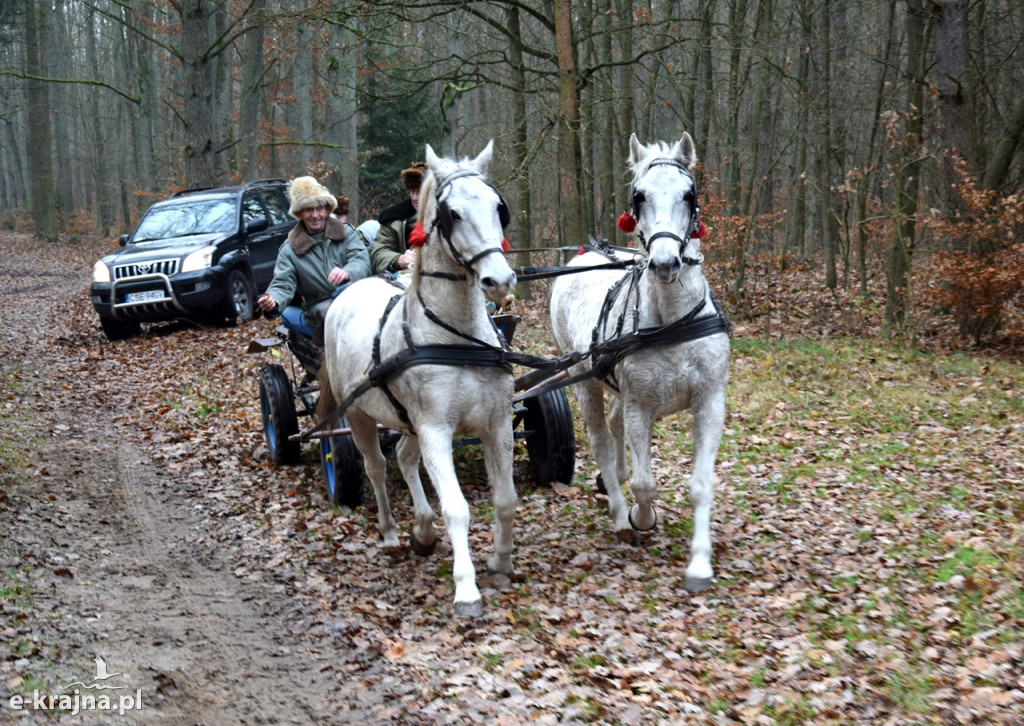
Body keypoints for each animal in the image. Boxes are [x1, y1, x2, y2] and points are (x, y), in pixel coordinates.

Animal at [315, 141, 516, 618]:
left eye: (498, 208)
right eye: (452, 214)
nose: (500, 280)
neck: (454, 336)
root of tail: (349, 290)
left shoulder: (496, 424)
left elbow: (505, 499)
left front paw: (500, 560)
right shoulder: (436, 430)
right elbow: (457, 508)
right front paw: (467, 589)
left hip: (406, 420)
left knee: (406, 458)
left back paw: (422, 530)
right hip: (363, 417)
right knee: (376, 466)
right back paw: (390, 532)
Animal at [552, 133, 729, 593]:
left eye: (689, 194)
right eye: (639, 196)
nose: (666, 263)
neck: (673, 319)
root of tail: (584, 255)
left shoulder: (710, 402)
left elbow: (701, 485)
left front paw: (699, 563)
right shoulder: (640, 406)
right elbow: (645, 483)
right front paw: (640, 516)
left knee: (613, 431)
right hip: (584, 381)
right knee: (600, 438)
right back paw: (617, 510)